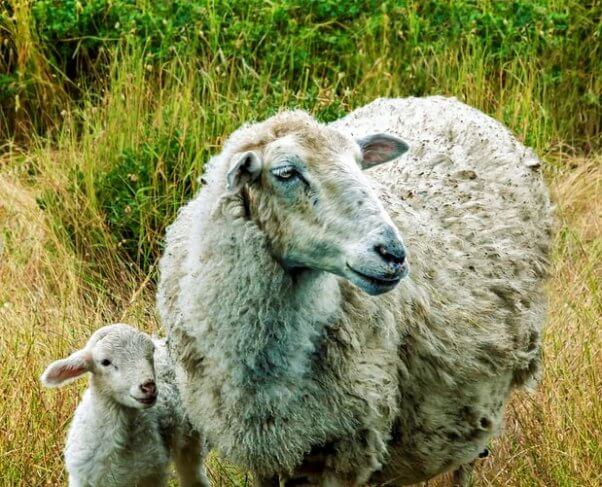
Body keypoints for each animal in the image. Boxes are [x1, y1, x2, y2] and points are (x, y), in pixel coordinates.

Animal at [157, 97, 552, 486]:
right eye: (286, 173)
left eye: (360, 163)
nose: (394, 254)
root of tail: (453, 102)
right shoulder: (262, 449)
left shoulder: (345, 448)